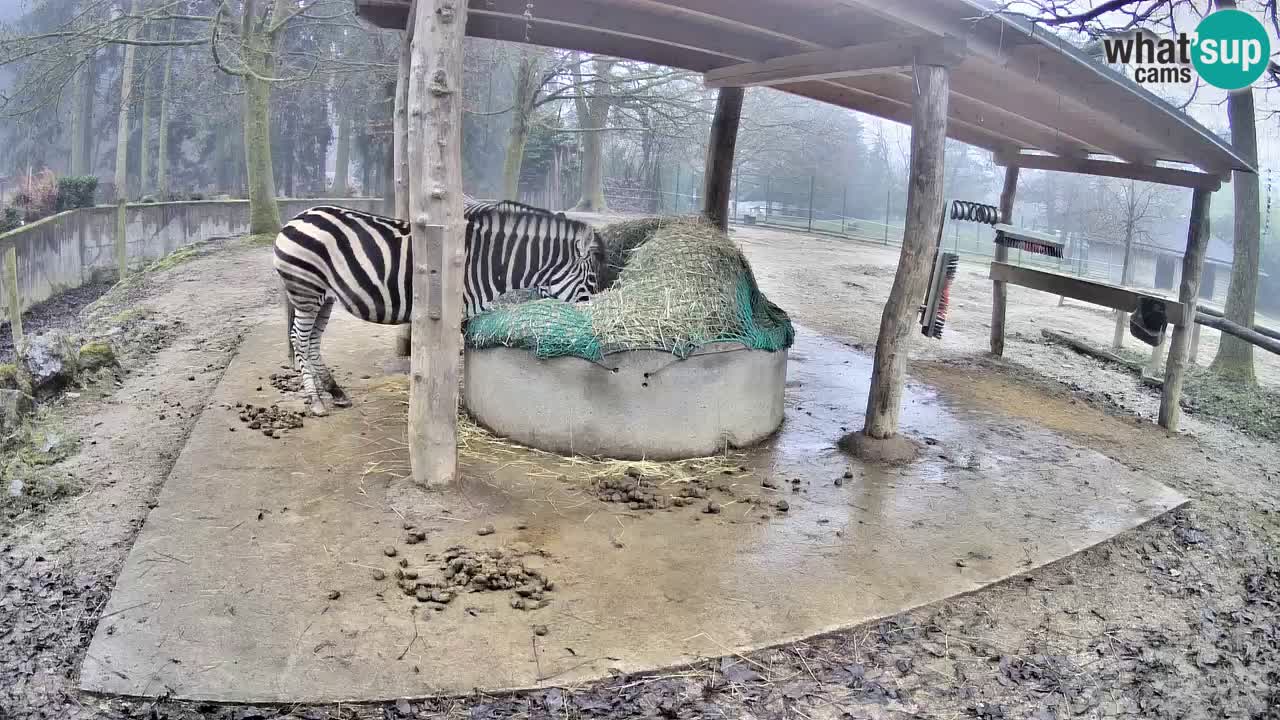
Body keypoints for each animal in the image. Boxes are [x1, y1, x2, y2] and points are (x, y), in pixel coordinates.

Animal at [272, 200, 606, 416]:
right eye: (591, 281)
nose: (593, 318)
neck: (488, 262)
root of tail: (296, 218)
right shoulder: (456, 310)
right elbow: (454, 362)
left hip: (324, 296)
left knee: (312, 341)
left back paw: (335, 392)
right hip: (306, 290)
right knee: (299, 340)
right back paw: (316, 400)